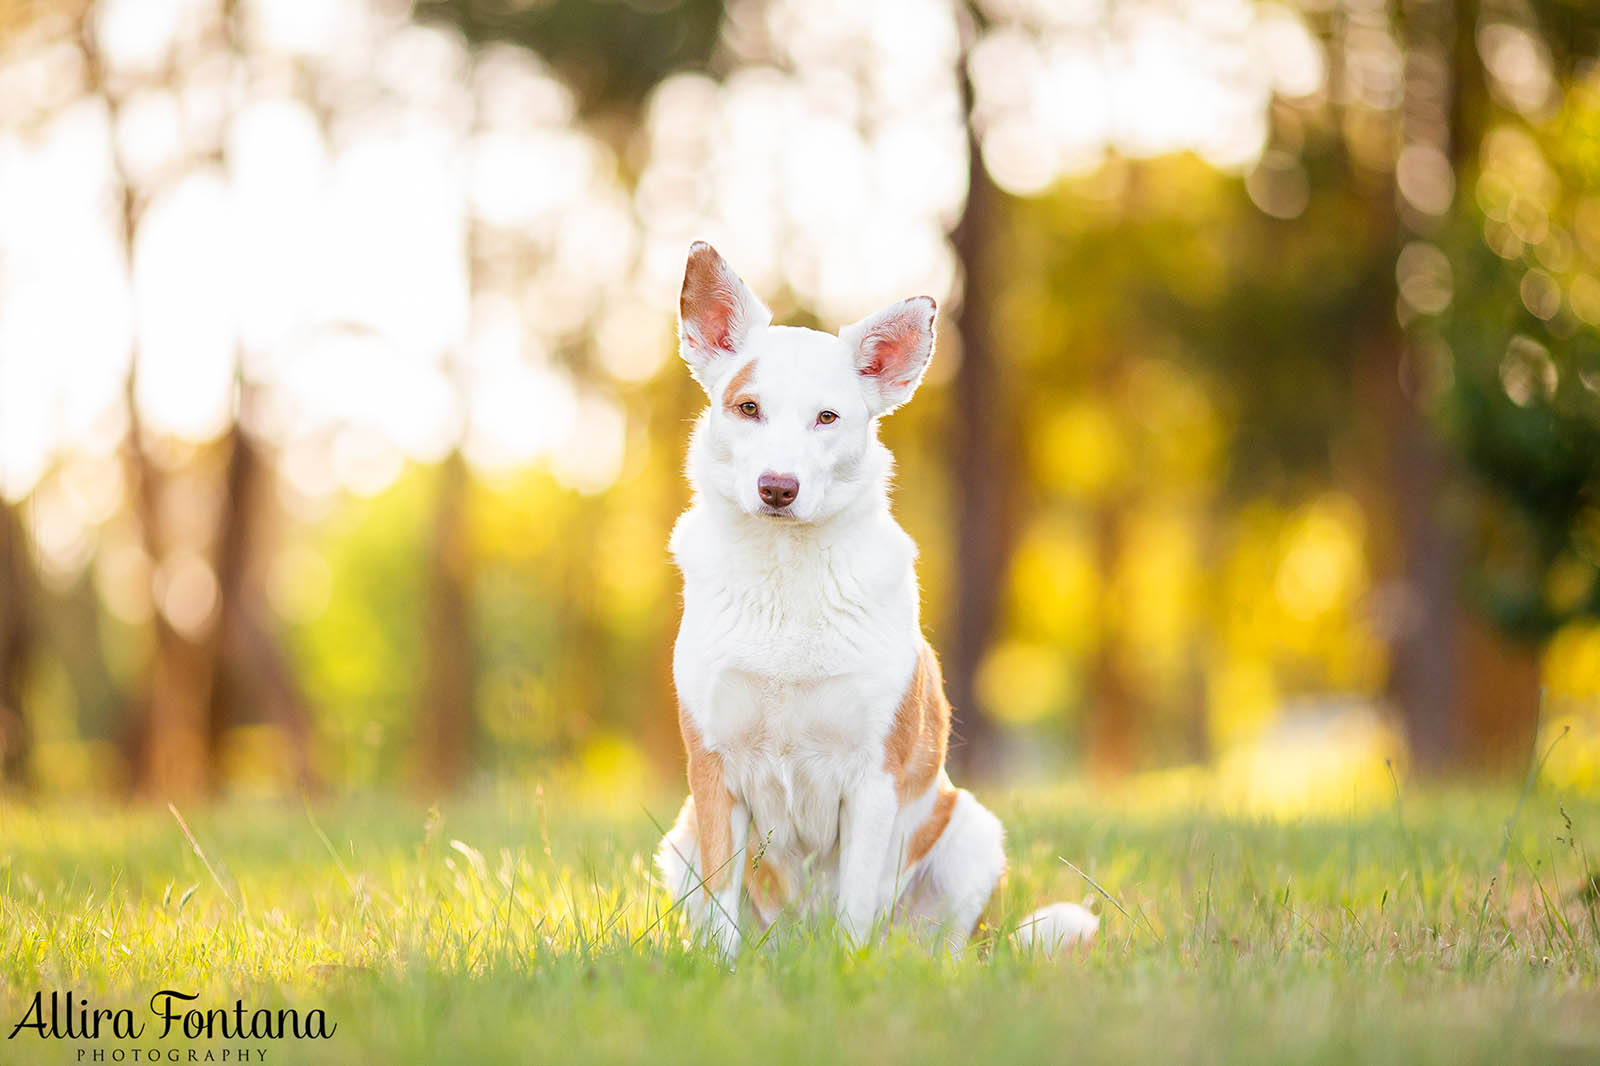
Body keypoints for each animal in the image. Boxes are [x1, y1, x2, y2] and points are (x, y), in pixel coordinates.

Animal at [652, 240, 1100, 953]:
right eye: (748, 408)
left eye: (827, 417)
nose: (778, 487)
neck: (786, 577)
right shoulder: (713, 775)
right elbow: (722, 906)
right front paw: (721, 971)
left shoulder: (873, 781)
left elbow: (856, 906)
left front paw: (845, 969)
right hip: (682, 835)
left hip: (971, 831)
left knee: (930, 949)